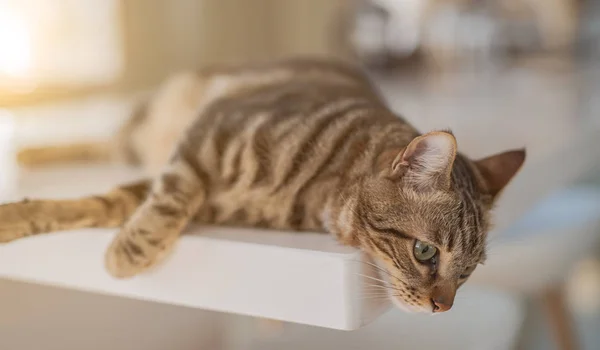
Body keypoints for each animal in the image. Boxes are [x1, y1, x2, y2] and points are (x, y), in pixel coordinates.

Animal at [1, 58, 524, 314]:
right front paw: (127, 253)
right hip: (149, 128)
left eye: (467, 273)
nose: (444, 307)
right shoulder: (203, 139)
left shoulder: (197, 191)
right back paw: (29, 150)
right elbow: (167, 200)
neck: (312, 190)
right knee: (107, 140)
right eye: (425, 253)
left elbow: (106, 202)